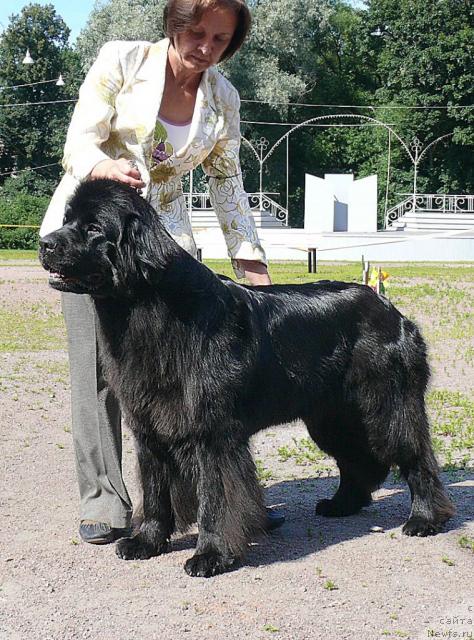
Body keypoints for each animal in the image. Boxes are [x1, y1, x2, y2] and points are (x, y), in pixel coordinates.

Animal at [39, 179, 454, 576]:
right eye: (67, 219)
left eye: (94, 227)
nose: (44, 243)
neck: (151, 308)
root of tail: (391, 309)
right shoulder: (149, 427)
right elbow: (156, 491)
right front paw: (147, 542)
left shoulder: (212, 433)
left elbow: (215, 498)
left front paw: (211, 555)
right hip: (332, 418)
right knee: (357, 460)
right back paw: (341, 505)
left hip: (386, 407)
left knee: (416, 457)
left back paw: (425, 519)